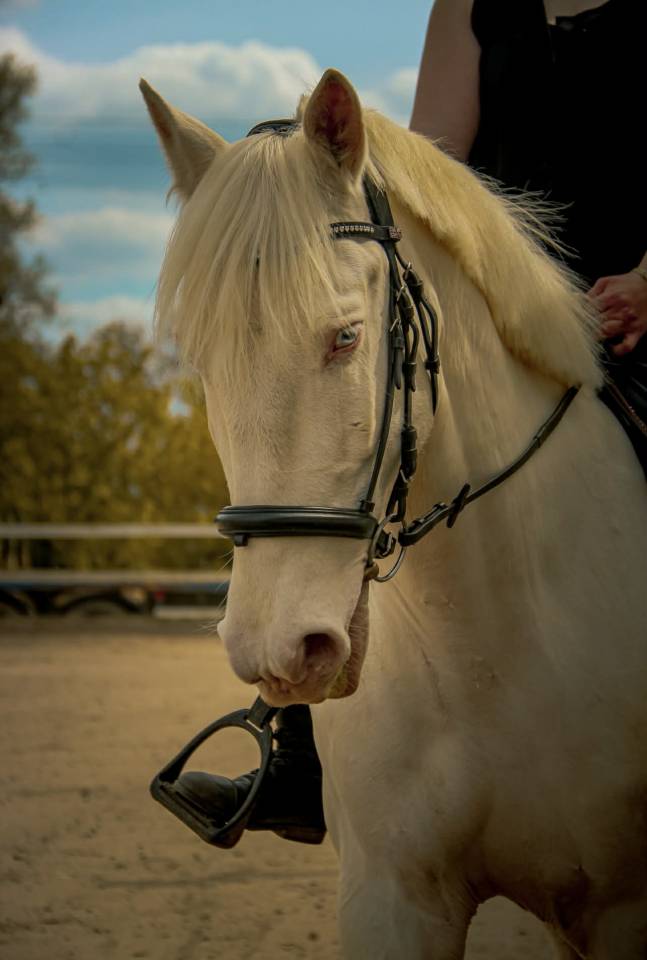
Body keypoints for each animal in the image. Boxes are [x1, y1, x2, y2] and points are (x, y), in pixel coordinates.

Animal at [141, 69, 647, 959]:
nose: (275, 651)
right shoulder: (393, 896)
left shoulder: (619, 907)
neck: (492, 643)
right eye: (203, 360)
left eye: (345, 338)